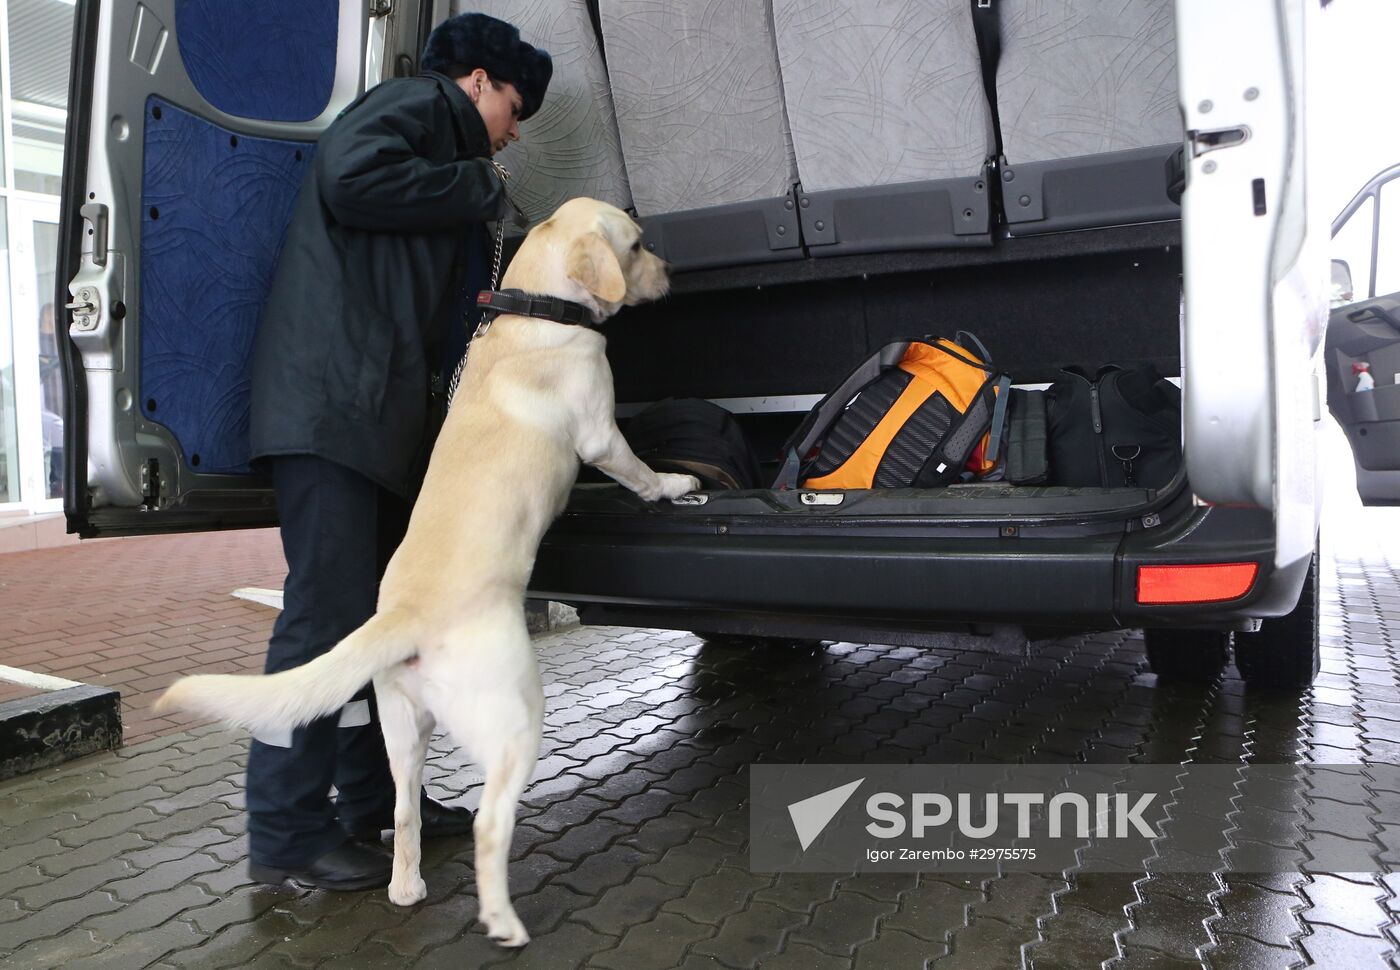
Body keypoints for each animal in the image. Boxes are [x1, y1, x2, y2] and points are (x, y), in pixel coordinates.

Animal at [157, 197, 700, 946]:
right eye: (639, 245)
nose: (674, 271)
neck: (539, 306)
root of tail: (403, 616)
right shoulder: (600, 433)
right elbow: (638, 470)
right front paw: (674, 484)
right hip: (514, 718)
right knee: (488, 824)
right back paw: (502, 920)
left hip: (403, 728)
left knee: (405, 812)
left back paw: (407, 887)